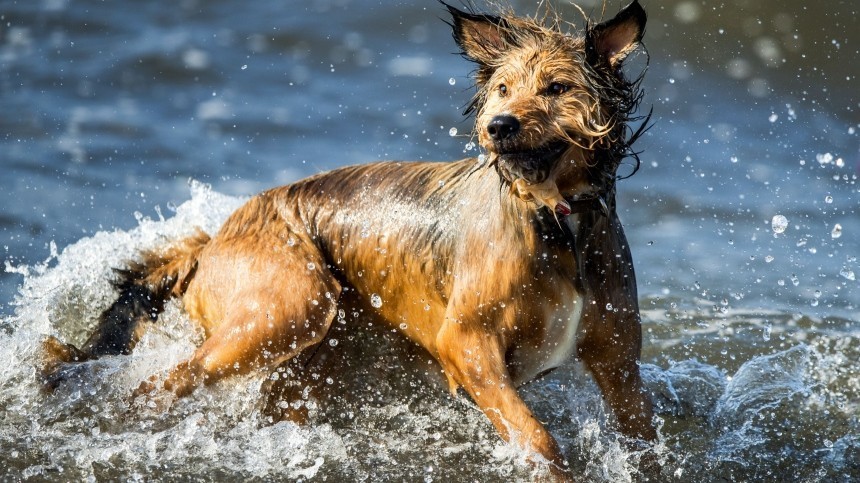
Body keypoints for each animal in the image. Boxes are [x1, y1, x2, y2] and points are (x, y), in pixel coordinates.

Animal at [42, 0, 652, 480]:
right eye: (503, 88)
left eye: (557, 88)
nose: (498, 125)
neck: (556, 220)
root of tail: (211, 240)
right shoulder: (467, 343)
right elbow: (538, 437)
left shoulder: (620, 364)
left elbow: (641, 434)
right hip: (291, 302)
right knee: (162, 384)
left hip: (312, 358)